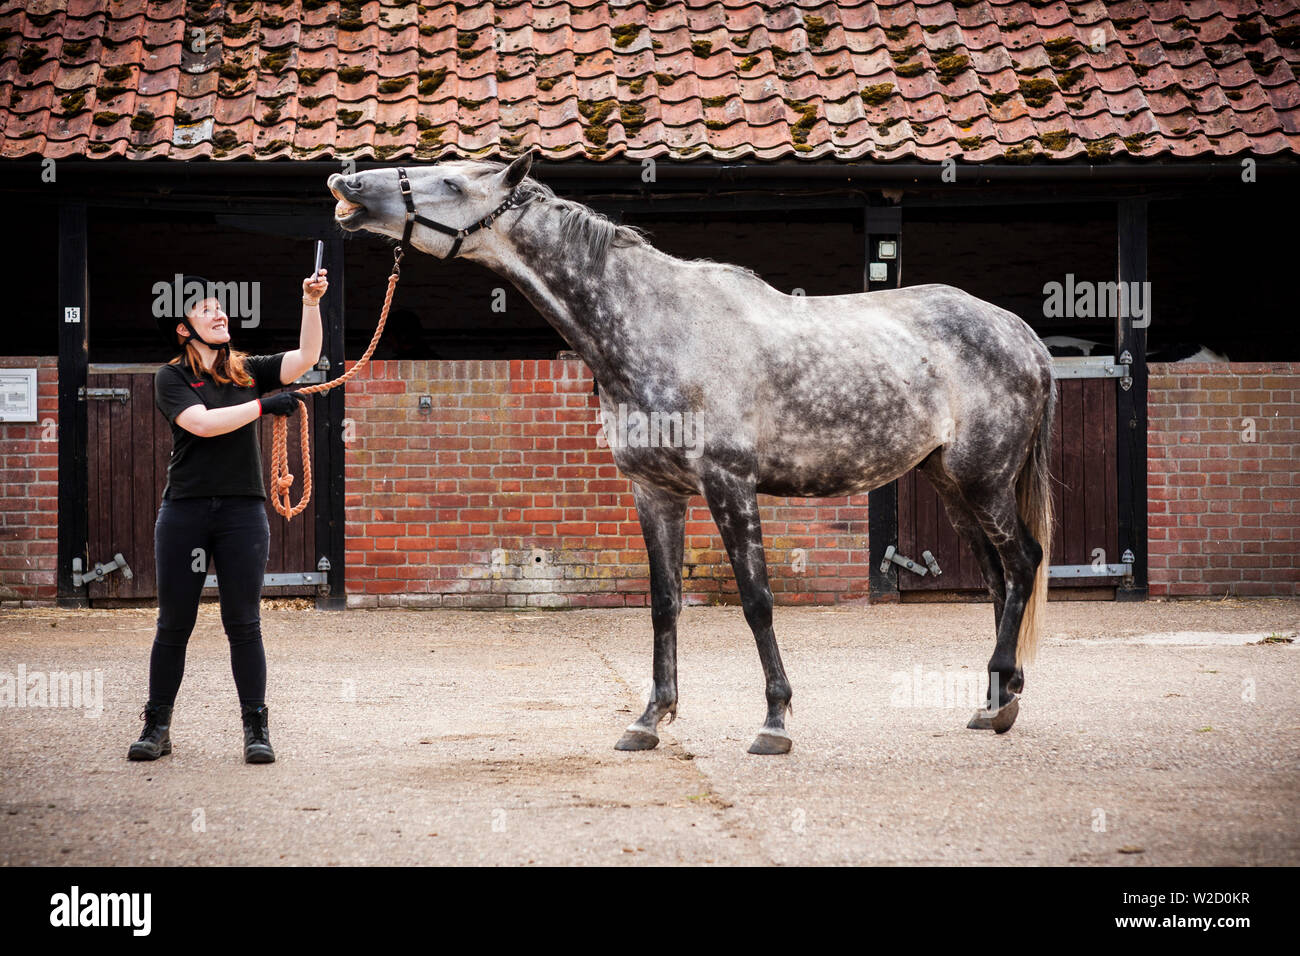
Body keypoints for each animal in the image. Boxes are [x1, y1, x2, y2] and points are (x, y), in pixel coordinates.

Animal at [327, 155, 1055, 754]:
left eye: (451, 183)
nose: (347, 185)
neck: (657, 325)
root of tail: (1019, 332)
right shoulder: (656, 491)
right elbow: (664, 603)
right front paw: (650, 719)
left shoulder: (729, 483)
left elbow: (757, 599)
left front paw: (775, 721)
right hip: (952, 486)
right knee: (998, 578)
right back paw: (996, 702)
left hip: (984, 481)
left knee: (1023, 562)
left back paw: (999, 696)